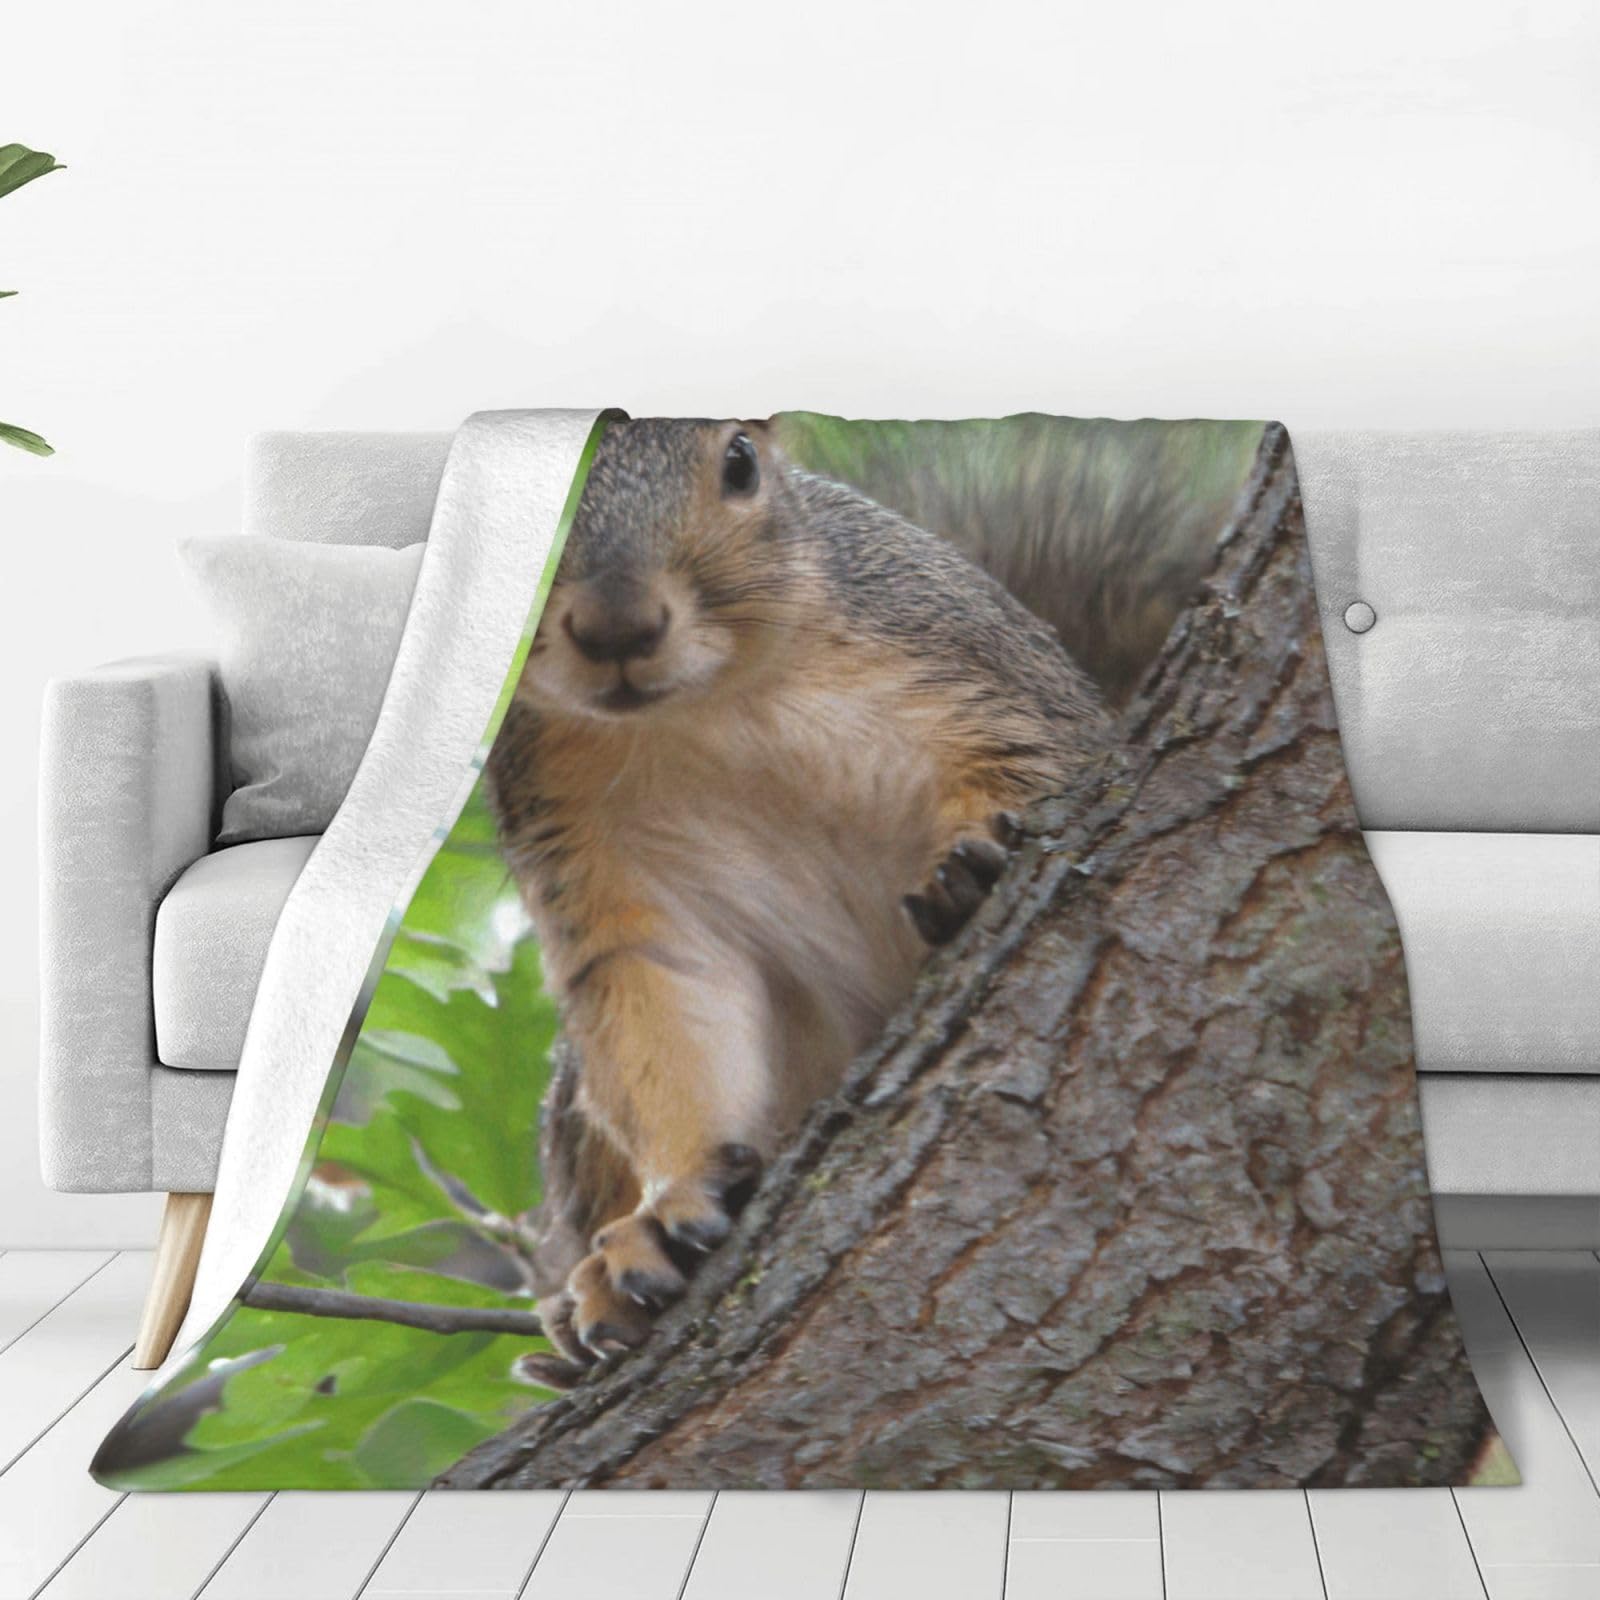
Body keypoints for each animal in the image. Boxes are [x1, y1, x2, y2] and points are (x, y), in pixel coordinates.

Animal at [485, 418, 1112, 1385]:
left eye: (740, 461)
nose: (618, 626)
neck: (713, 706)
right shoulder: (598, 863)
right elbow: (664, 1002)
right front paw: (669, 1210)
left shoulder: (973, 669)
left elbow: (1039, 765)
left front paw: (974, 866)